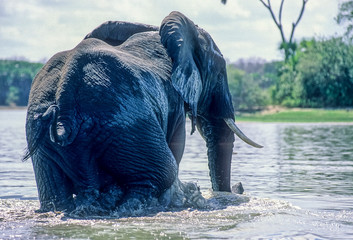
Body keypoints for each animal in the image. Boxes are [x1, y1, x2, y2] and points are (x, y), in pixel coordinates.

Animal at [24, 11, 262, 214]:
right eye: (220, 72)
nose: (238, 186)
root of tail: (64, 96)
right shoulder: (174, 102)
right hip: (129, 126)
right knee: (162, 172)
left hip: (43, 139)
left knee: (53, 190)